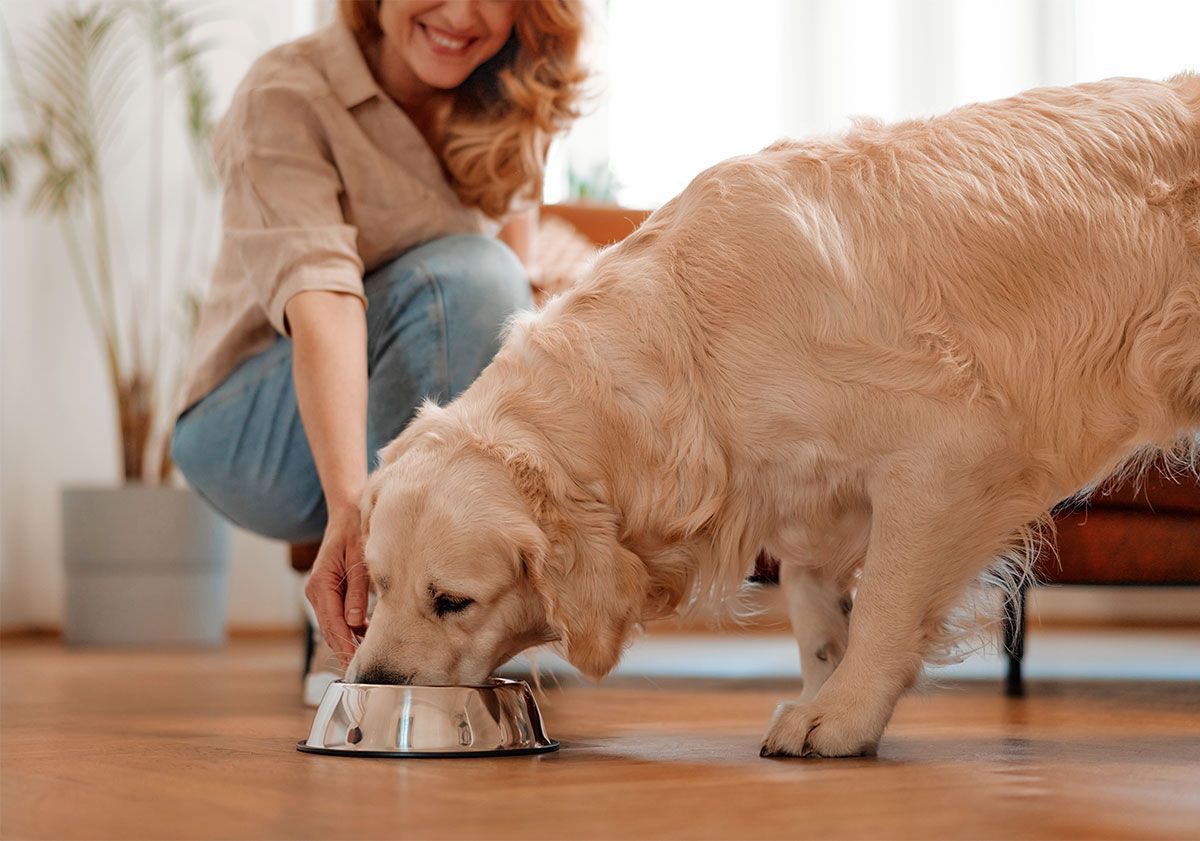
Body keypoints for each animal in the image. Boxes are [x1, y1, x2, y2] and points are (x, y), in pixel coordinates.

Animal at [348, 70, 1200, 753]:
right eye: (377, 583)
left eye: (453, 600)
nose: (371, 682)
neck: (692, 347)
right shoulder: (807, 491)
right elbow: (817, 613)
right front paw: (826, 690)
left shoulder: (946, 453)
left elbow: (885, 599)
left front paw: (843, 717)